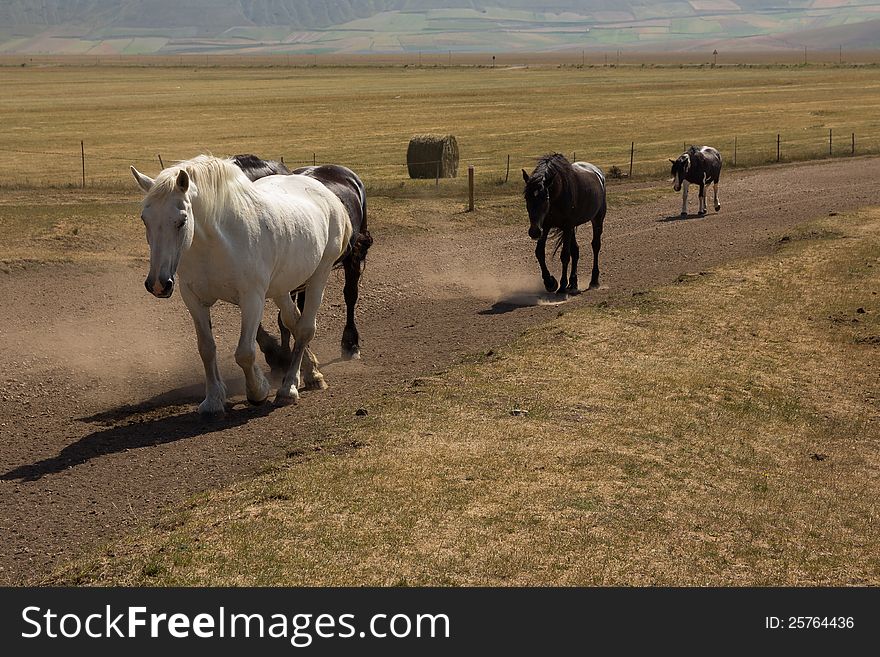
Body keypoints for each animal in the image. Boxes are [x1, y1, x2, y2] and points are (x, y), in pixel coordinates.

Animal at [131, 155, 350, 416]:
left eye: (182, 220)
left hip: (319, 275)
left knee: (305, 329)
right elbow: (206, 349)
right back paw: (310, 374)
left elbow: (245, 353)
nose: (158, 284)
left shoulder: (252, 299)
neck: (215, 244)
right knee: (294, 323)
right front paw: (213, 400)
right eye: (145, 219)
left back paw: (288, 389)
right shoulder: (193, 299)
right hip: (281, 287)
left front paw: (258, 391)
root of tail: (326, 193)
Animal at [524, 154, 604, 292]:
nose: (534, 232)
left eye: (545, 198)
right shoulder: (545, 226)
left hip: (597, 219)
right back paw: (573, 282)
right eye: (526, 197)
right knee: (575, 250)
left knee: (595, 245)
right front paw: (550, 282)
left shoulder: (566, 226)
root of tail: (598, 174)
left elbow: (565, 255)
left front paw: (562, 285)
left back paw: (593, 281)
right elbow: (540, 252)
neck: (559, 192)